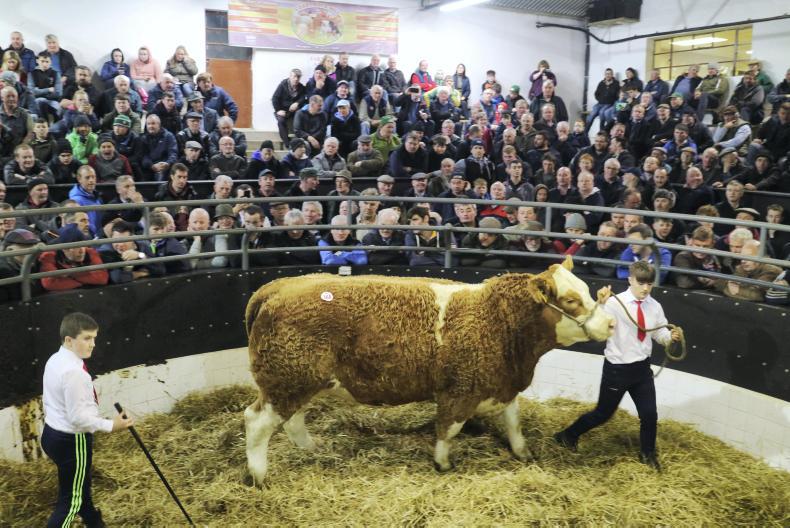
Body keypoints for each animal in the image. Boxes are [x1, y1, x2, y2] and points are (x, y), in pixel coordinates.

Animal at [243, 256, 615, 483]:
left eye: (586, 290)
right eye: (570, 300)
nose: (610, 323)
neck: (497, 319)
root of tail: (277, 287)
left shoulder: (501, 382)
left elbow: (513, 422)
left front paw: (523, 453)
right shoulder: (459, 391)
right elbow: (448, 430)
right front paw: (442, 463)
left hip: (297, 380)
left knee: (293, 420)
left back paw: (311, 448)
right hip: (285, 381)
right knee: (257, 422)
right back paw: (259, 475)